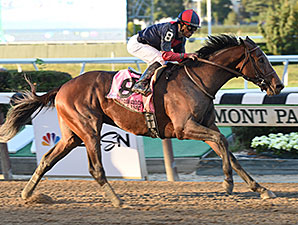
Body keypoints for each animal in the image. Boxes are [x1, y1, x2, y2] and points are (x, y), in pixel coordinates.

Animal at [0, 35, 284, 207]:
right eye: (260, 59)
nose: (278, 85)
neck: (198, 81)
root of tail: (62, 87)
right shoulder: (184, 128)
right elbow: (222, 142)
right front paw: (227, 183)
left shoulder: (205, 125)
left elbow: (229, 152)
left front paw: (261, 188)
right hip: (89, 130)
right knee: (95, 168)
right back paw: (117, 200)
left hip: (71, 135)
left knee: (48, 159)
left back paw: (28, 194)